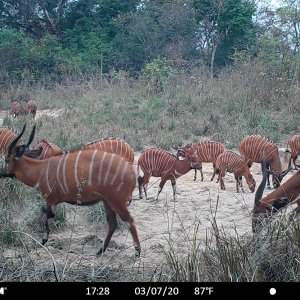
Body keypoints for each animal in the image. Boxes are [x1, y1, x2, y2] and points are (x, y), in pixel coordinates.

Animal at [0, 124, 141, 258]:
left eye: (6, 159)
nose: (1, 172)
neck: (40, 169)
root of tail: (131, 170)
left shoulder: (50, 200)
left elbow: (46, 218)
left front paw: (43, 240)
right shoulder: (52, 202)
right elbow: (47, 216)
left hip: (116, 201)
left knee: (129, 221)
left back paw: (137, 252)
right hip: (107, 202)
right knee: (113, 223)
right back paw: (100, 251)